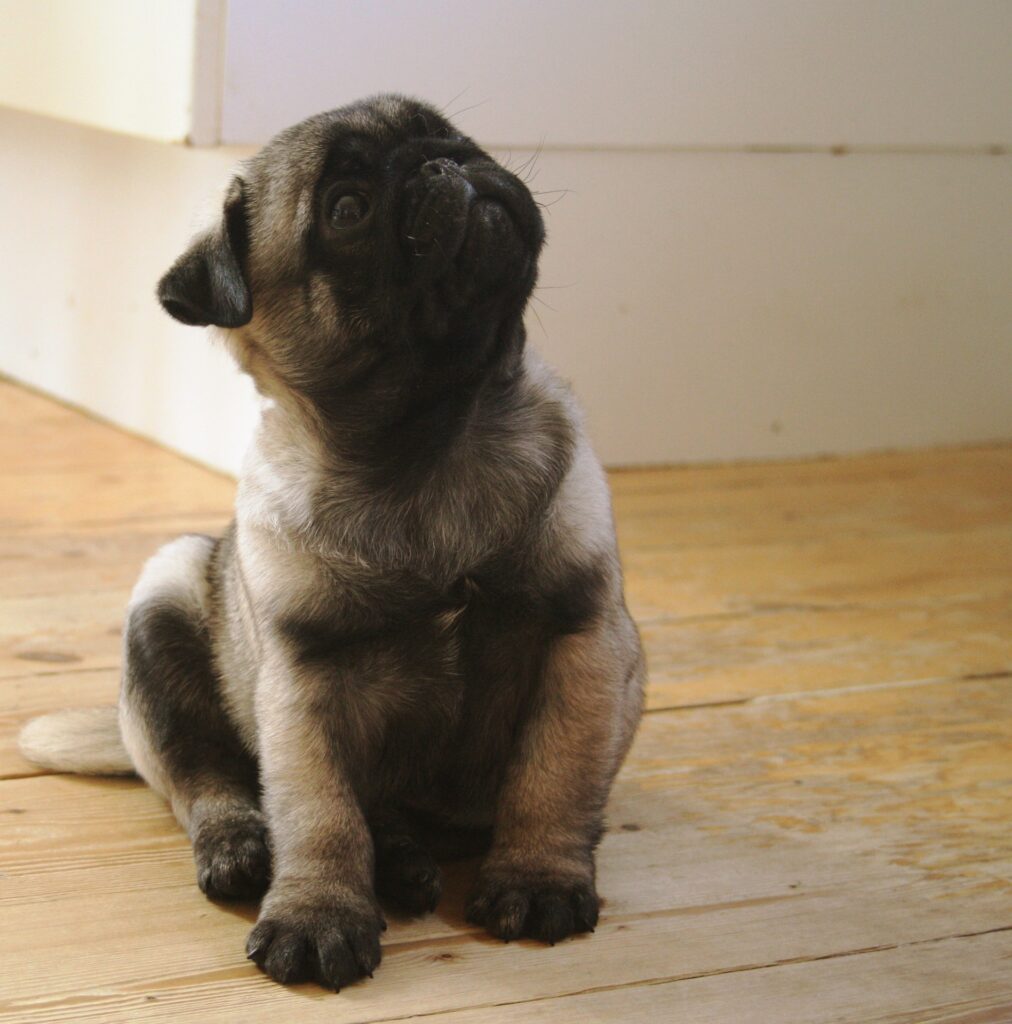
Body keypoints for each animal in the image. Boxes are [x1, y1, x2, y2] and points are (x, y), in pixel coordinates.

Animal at [19, 96, 643, 991]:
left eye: (455, 135)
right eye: (348, 208)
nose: (441, 162)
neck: (429, 435)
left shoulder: (577, 637)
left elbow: (552, 776)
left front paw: (538, 877)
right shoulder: (305, 679)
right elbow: (319, 815)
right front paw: (318, 914)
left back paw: (407, 864)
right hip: (165, 598)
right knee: (203, 775)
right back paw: (248, 848)